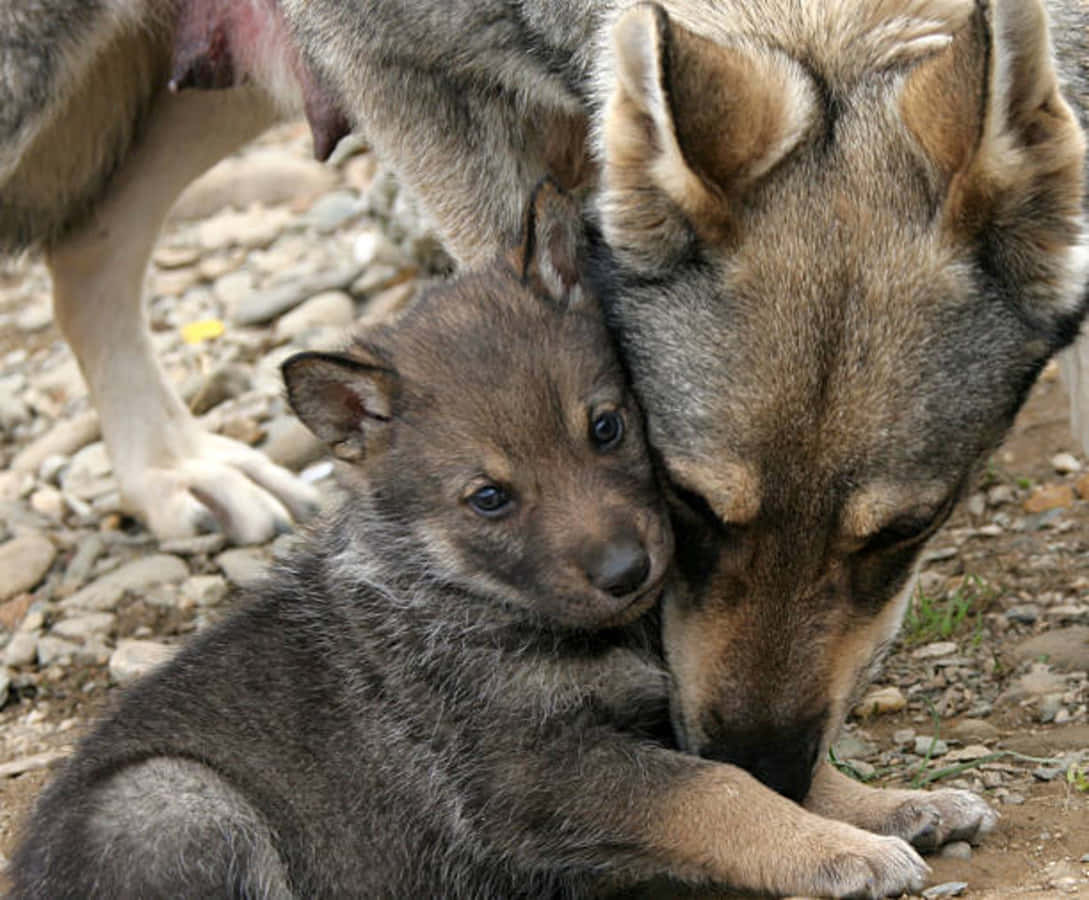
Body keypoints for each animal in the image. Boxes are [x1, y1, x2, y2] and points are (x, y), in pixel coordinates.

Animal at [8, 185, 935, 899]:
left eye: (606, 427)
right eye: (489, 499)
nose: (628, 570)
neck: (458, 592)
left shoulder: (651, 709)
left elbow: (775, 770)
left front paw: (882, 806)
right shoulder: (534, 767)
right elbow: (717, 789)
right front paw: (837, 851)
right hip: (176, 799)